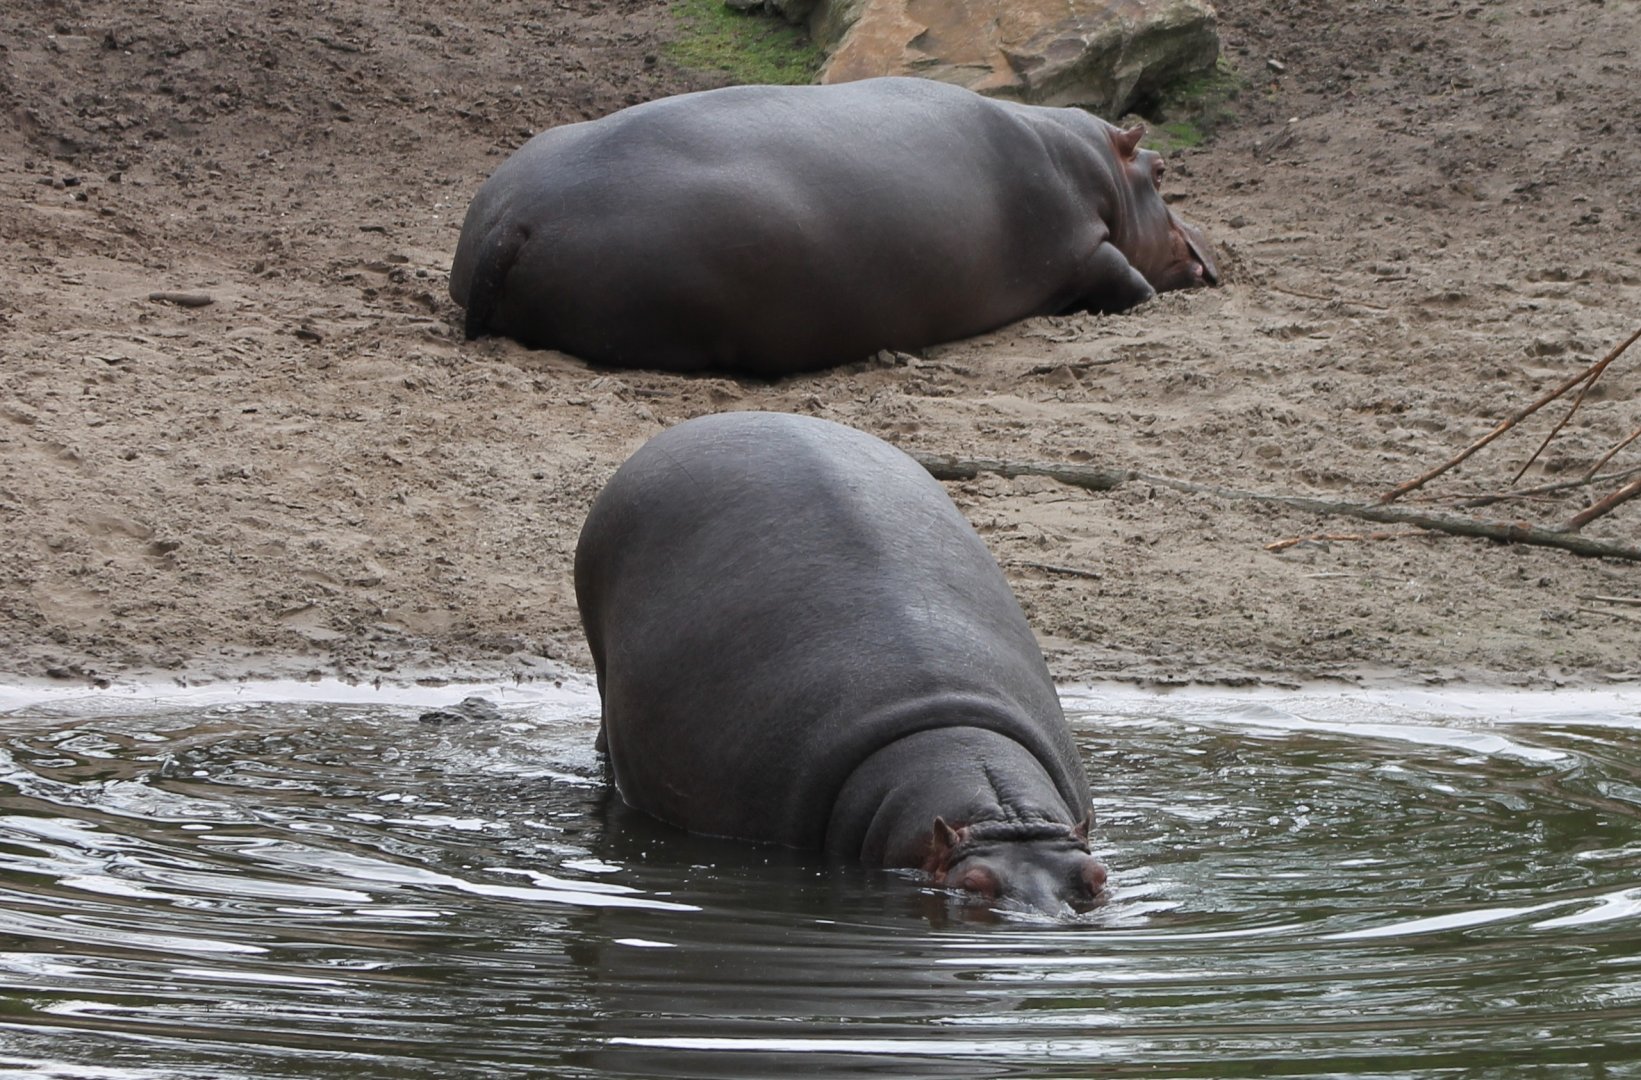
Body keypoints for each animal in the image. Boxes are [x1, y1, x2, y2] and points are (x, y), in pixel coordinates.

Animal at [452, 76, 1217, 376]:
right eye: (1159, 169)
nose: (1208, 253)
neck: (1100, 169)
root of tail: (515, 218)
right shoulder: (1083, 249)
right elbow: (1125, 278)